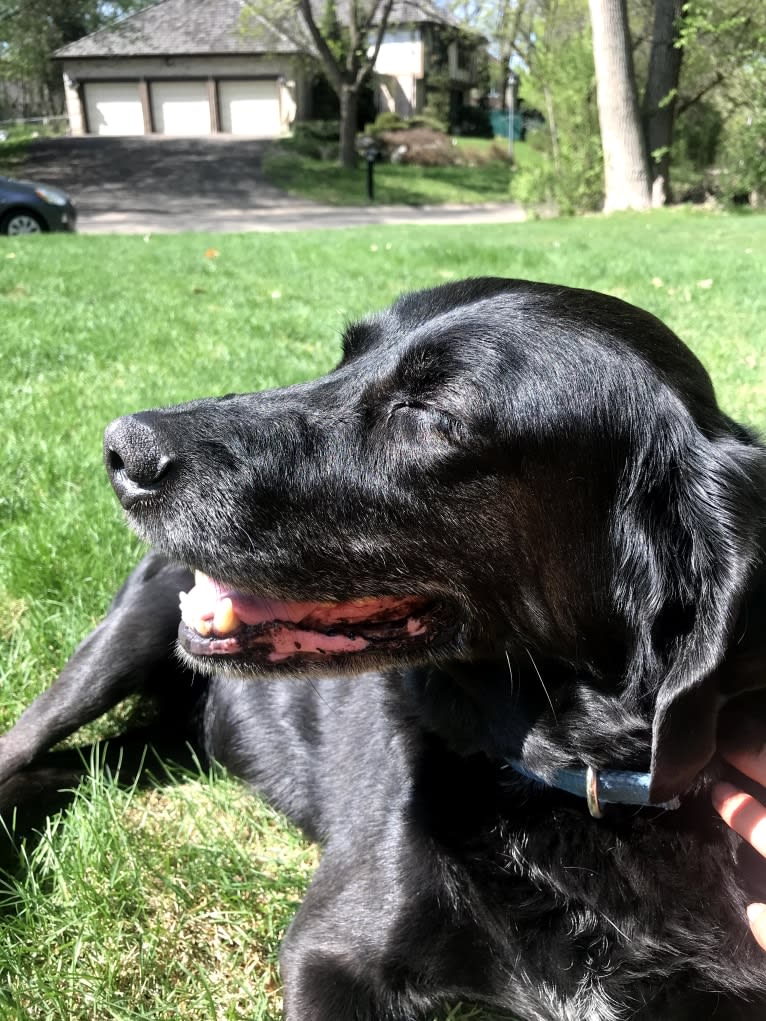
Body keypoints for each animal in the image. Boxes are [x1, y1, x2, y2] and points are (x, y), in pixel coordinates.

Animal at [1, 275, 766, 1016]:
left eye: (432, 411)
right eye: (343, 359)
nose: (121, 446)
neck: (568, 782)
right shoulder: (328, 951)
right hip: (121, 641)